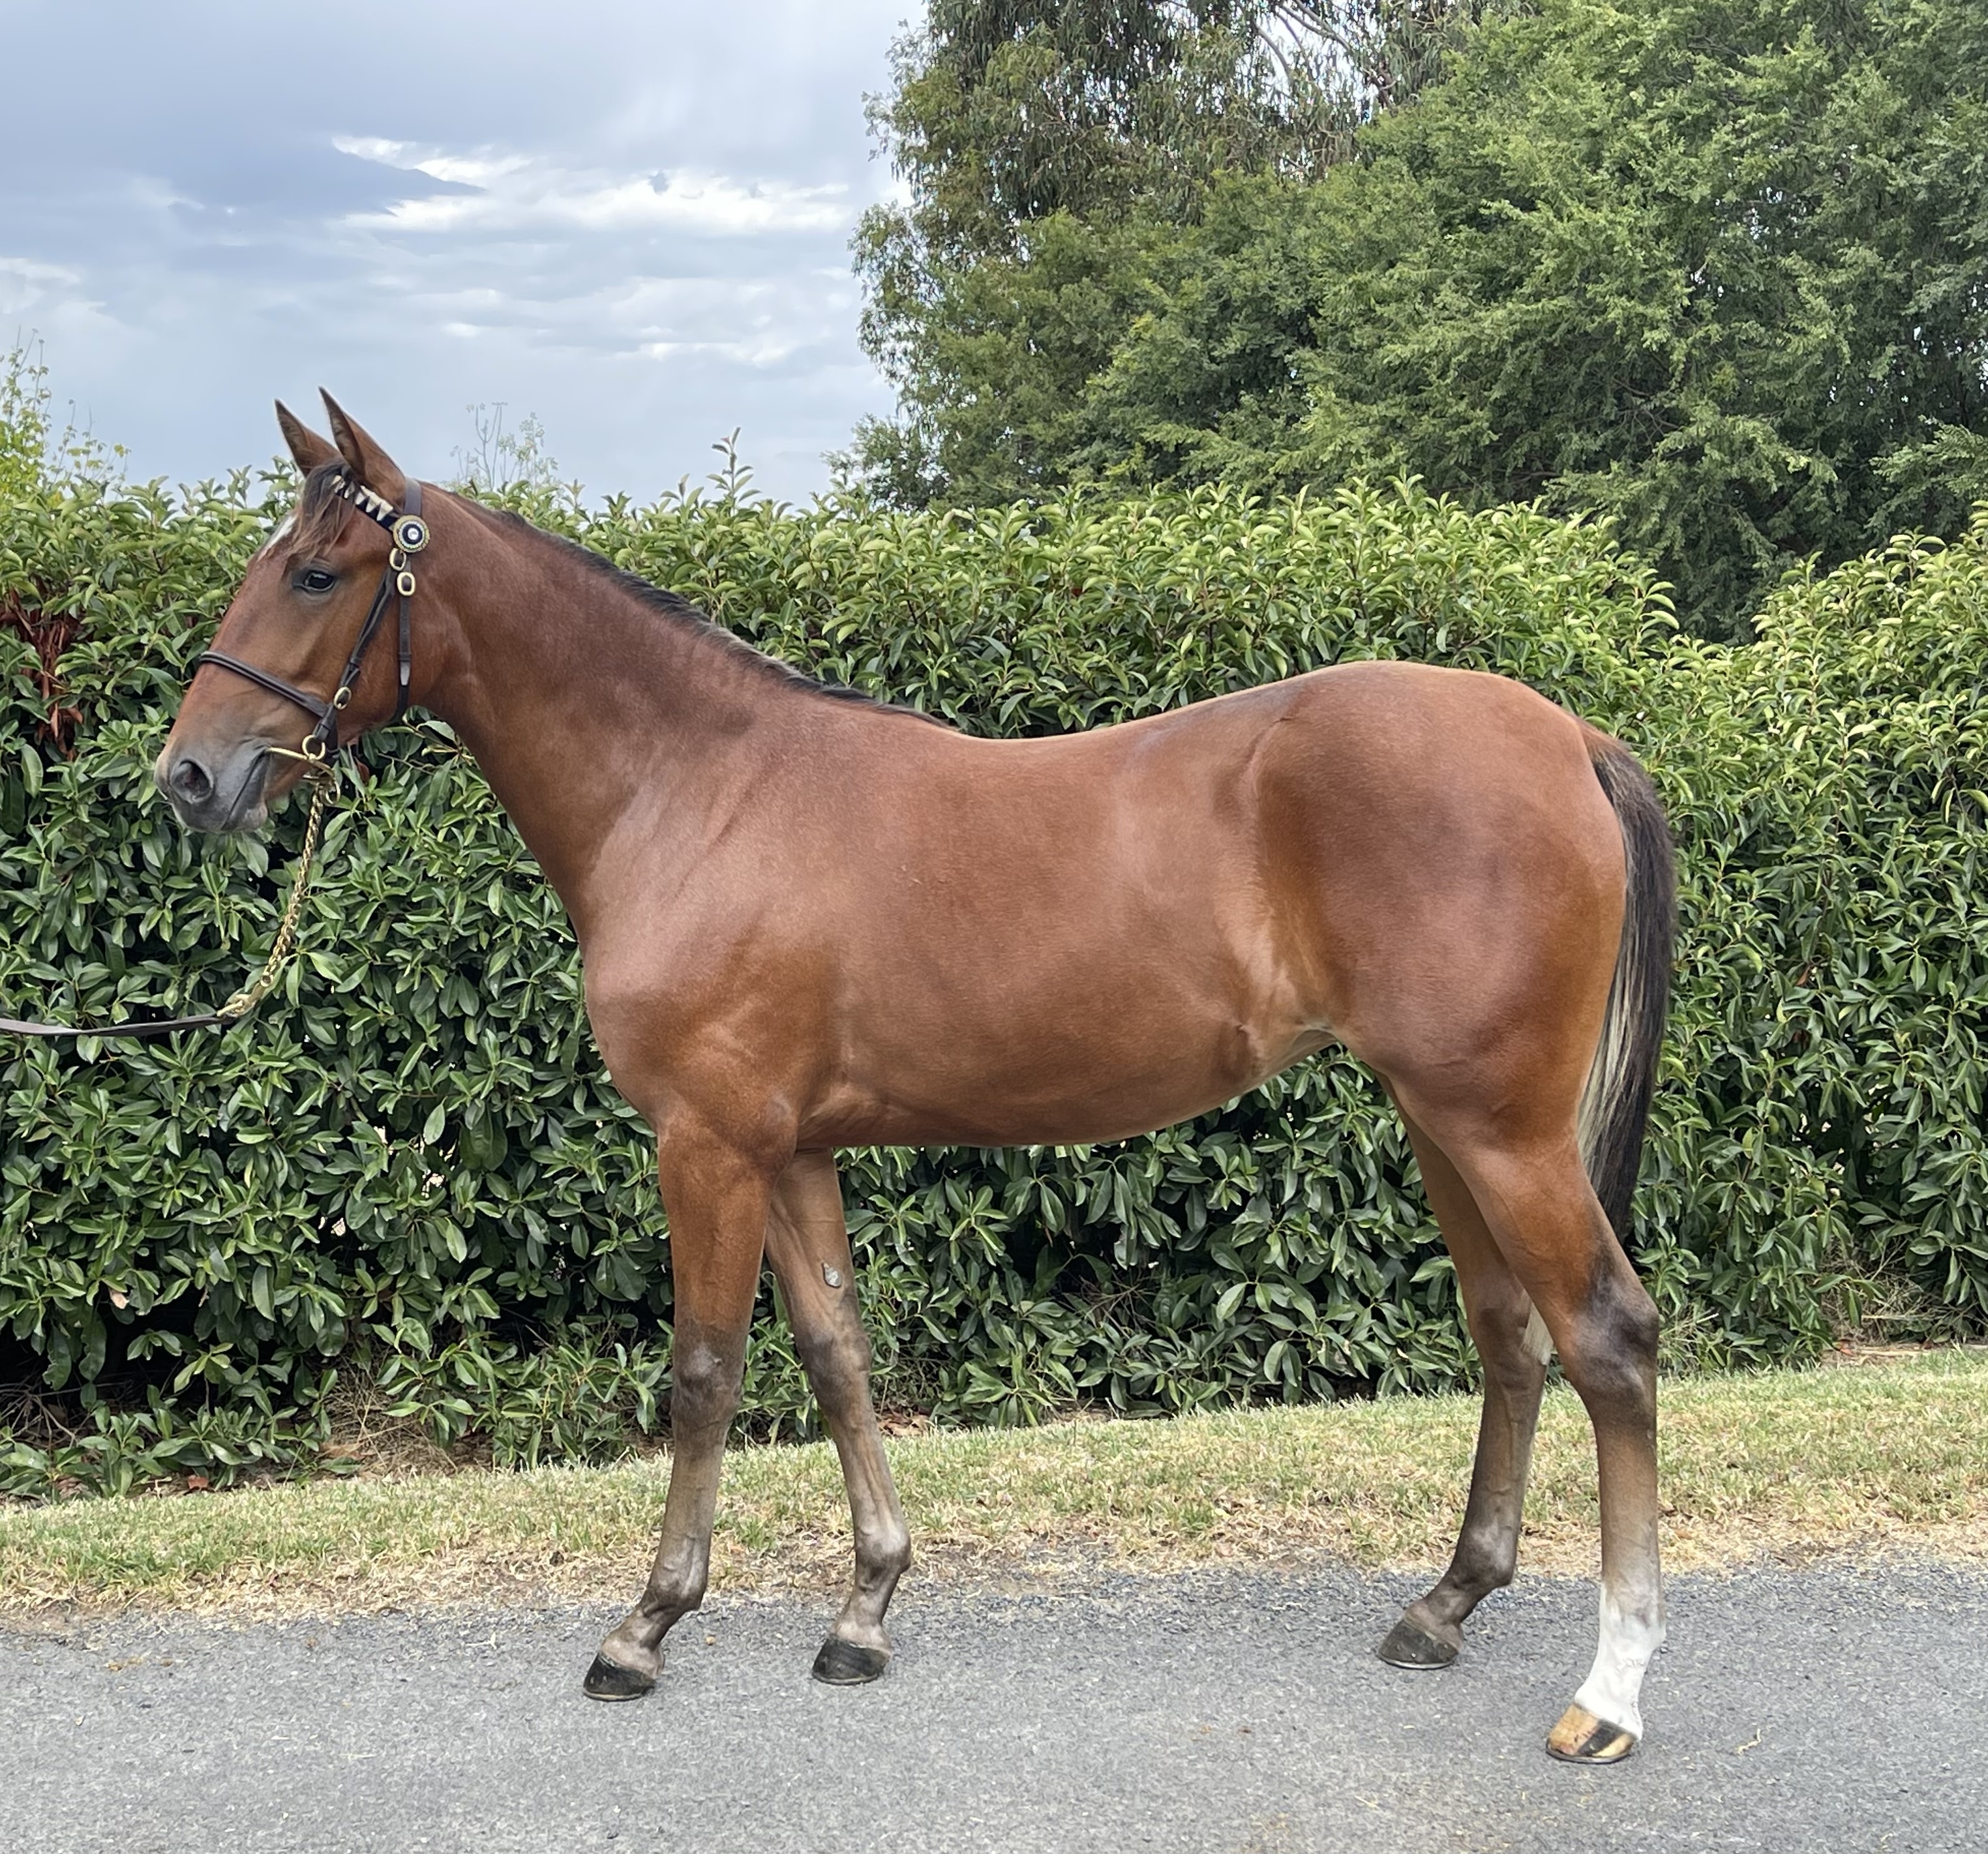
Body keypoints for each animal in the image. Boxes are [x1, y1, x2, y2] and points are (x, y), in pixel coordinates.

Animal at [156, 396, 1676, 1765]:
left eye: (315, 572)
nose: (187, 777)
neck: (698, 792)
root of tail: (1572, 737)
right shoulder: (791, 1149)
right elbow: (837, 1353)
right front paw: (866, 1606)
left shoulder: (706, 1143)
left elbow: (704, 1371)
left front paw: (645, 1627)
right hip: (1442, 1120)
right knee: (1507, 1333)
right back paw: (1444, 1605)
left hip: (1501, 1127)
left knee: (1607, 1338)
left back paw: (1607, 1692)